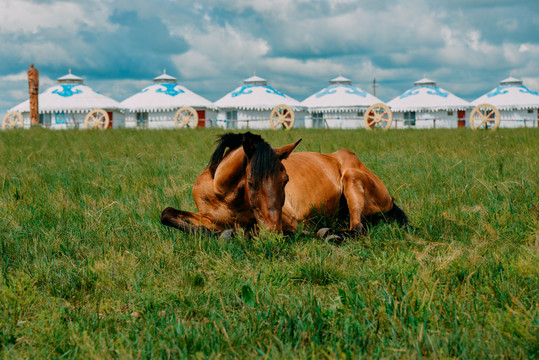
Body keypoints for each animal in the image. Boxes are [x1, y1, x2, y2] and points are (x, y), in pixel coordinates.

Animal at [162, 131, 408, 239]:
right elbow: (168, 214)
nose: (274, 232)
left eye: (286, 180)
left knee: (357, 228)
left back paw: (329, 233)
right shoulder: (209, 217)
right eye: (251, 182)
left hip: (351, 178)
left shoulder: (286, 220)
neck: (224, 197)